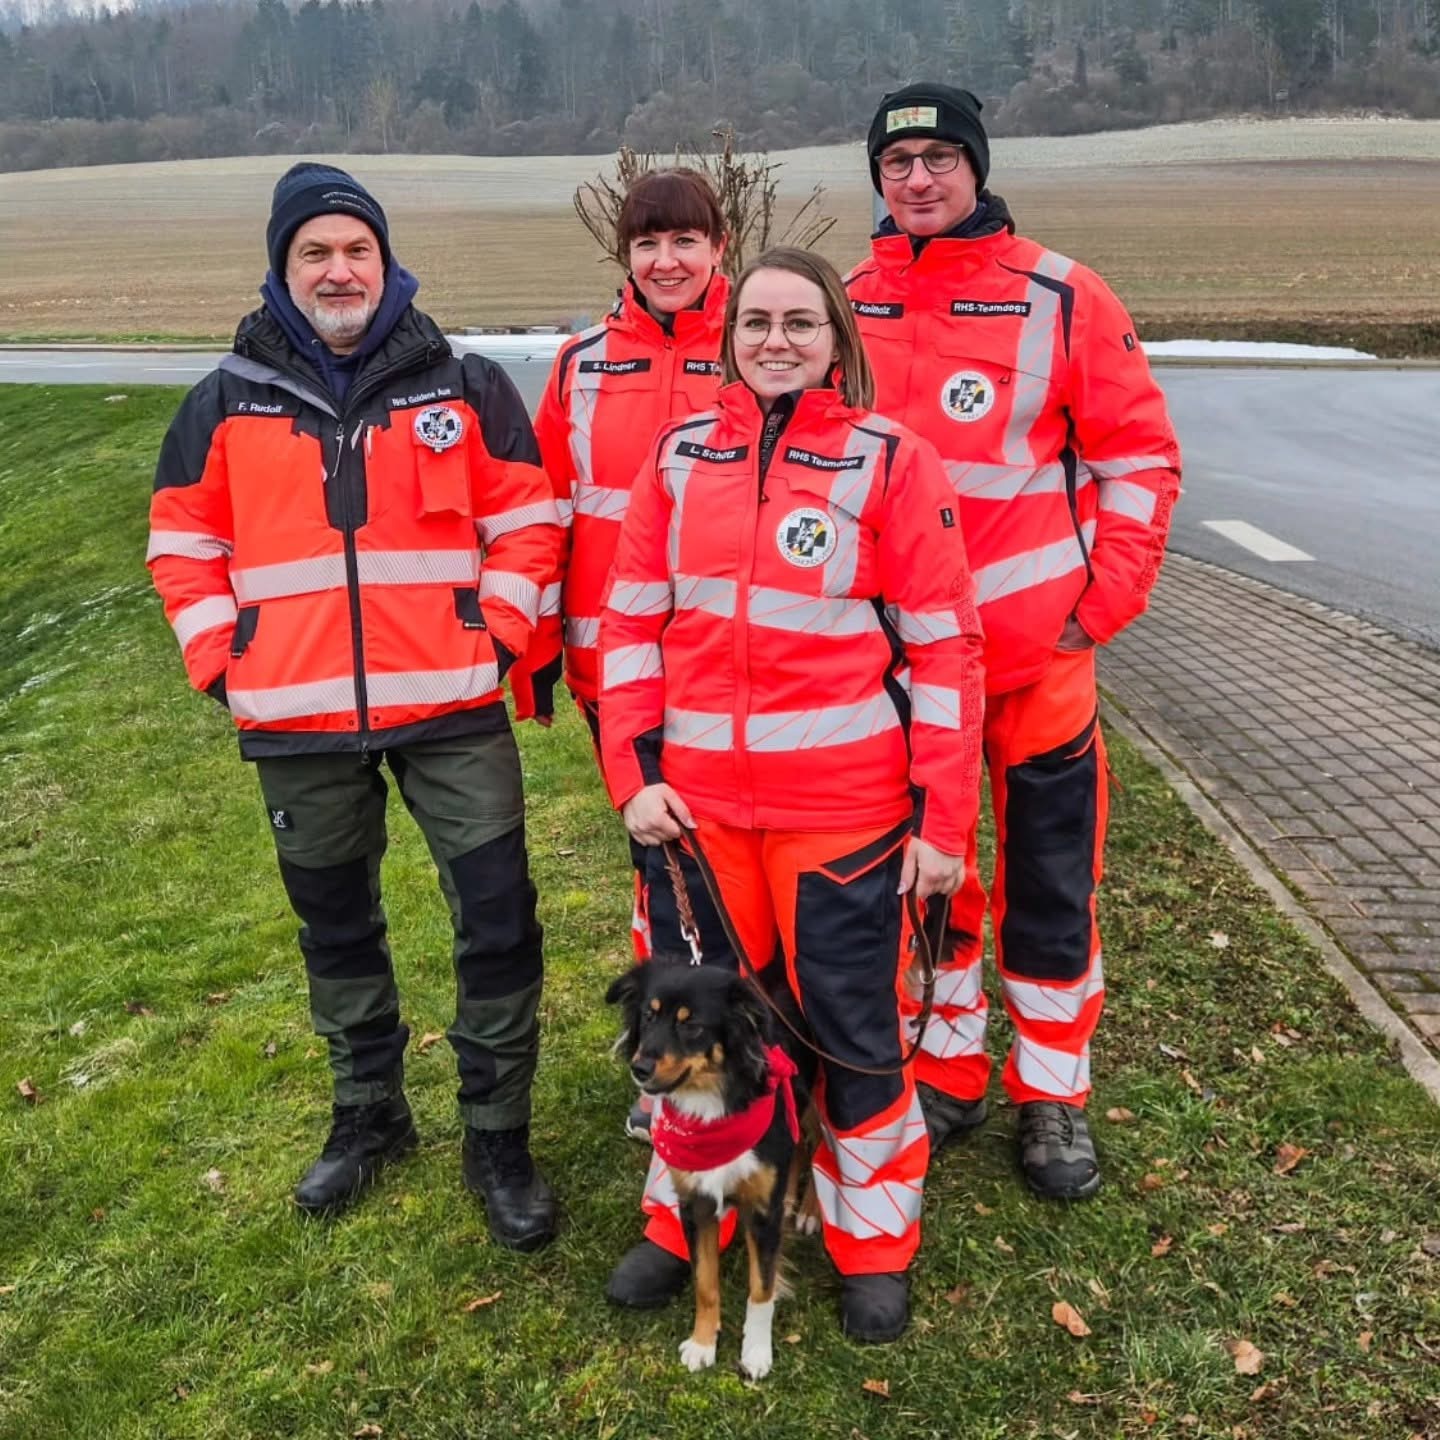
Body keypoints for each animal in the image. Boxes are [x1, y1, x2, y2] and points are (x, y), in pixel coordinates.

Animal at [606, 958, 804, 1380]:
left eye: (691, 1024)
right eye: (648, 1015)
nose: (639, 1068)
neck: (711, 1105)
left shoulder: (762, 1211)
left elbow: (760, 1289)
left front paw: (756, 1354)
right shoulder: (695, 1204)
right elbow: (705, 1282)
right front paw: (702, 1344)